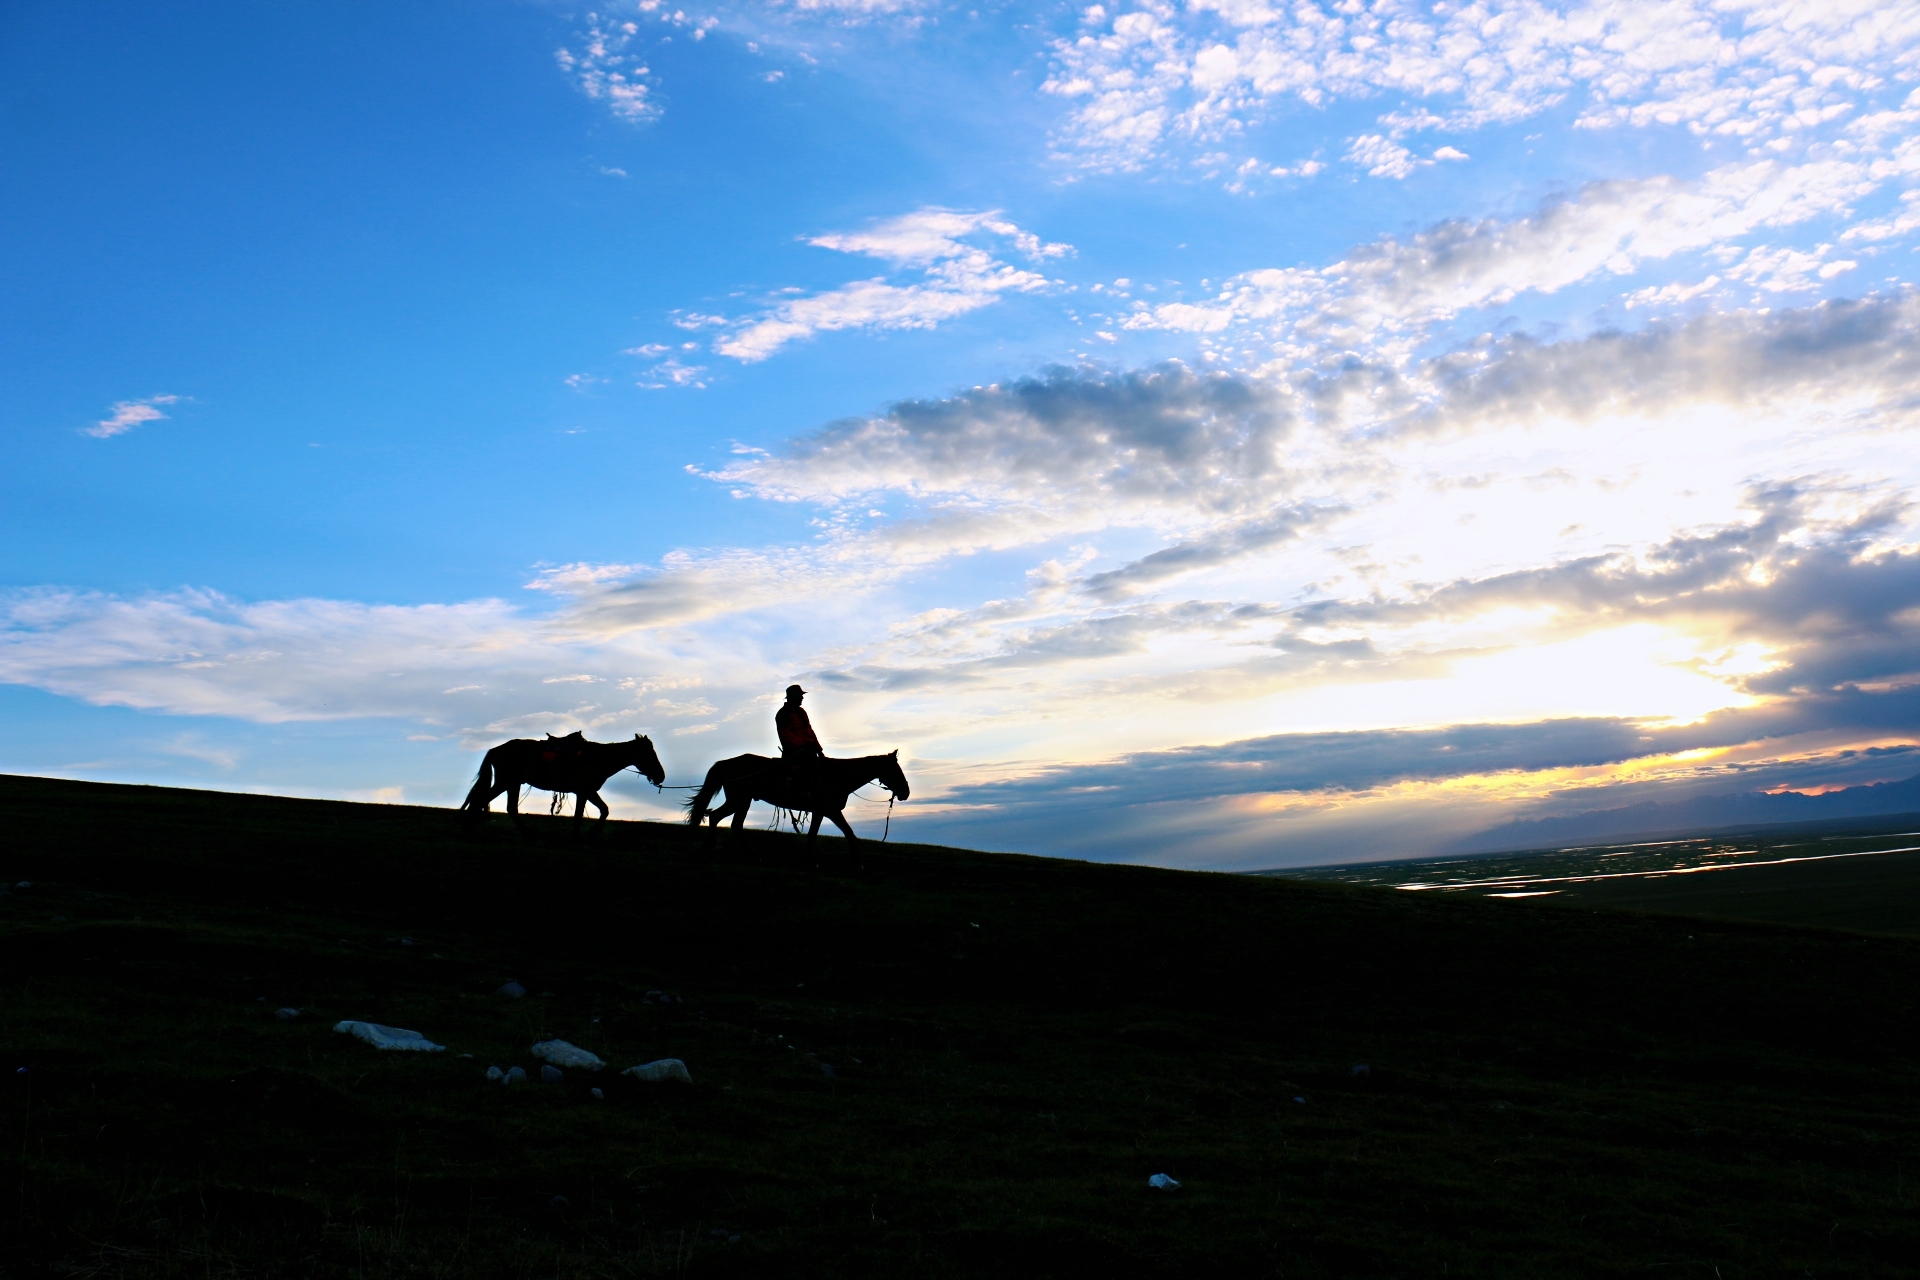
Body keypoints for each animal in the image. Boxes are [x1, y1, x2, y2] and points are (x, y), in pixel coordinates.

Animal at [458, 729, 664, 840]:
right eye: (650, 753)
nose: (661, 776)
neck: (598, 758)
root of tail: (496, 749)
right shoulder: (585, 791)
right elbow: (582, 815)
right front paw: (581, 836)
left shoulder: (587, 791)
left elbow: (602, 810)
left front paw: (587, 835)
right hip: (505, 782)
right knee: (480, 801)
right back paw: (467, 832)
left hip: (512, 783)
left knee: (510, 808)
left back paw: (528, 835)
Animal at [687, 752, 910, 852]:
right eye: (896, 769)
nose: (906, 792)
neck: (838, 775)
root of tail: (726, 762)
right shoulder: (831, 811)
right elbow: (849, 833)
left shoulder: (821, 812)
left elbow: (813, 836)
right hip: (740, 801)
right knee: (723, 819)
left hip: (740, 801)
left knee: (723, 819)